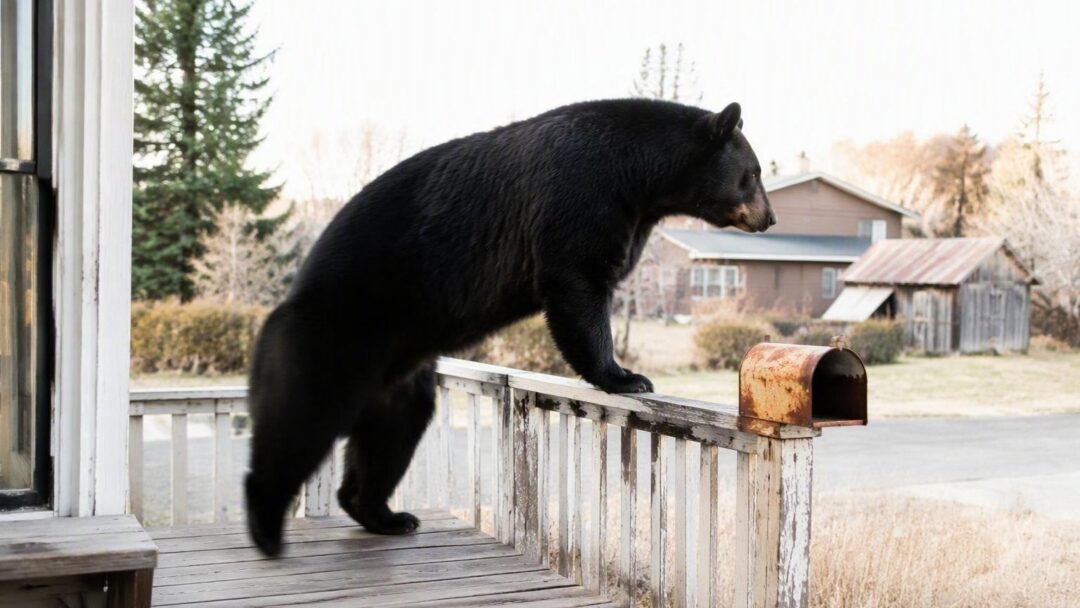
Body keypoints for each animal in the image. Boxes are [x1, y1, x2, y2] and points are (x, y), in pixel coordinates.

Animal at [245, 99, 774, 557]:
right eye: (752, 174)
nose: (769, 217)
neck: (640, 174)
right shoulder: (582, 193)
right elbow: (576, 280)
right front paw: (625, 376)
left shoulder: (630, 214)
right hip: (335, 336)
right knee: (300, 421)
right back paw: (266, 527)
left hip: (398, 375)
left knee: (391, 433)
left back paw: (386, 516)